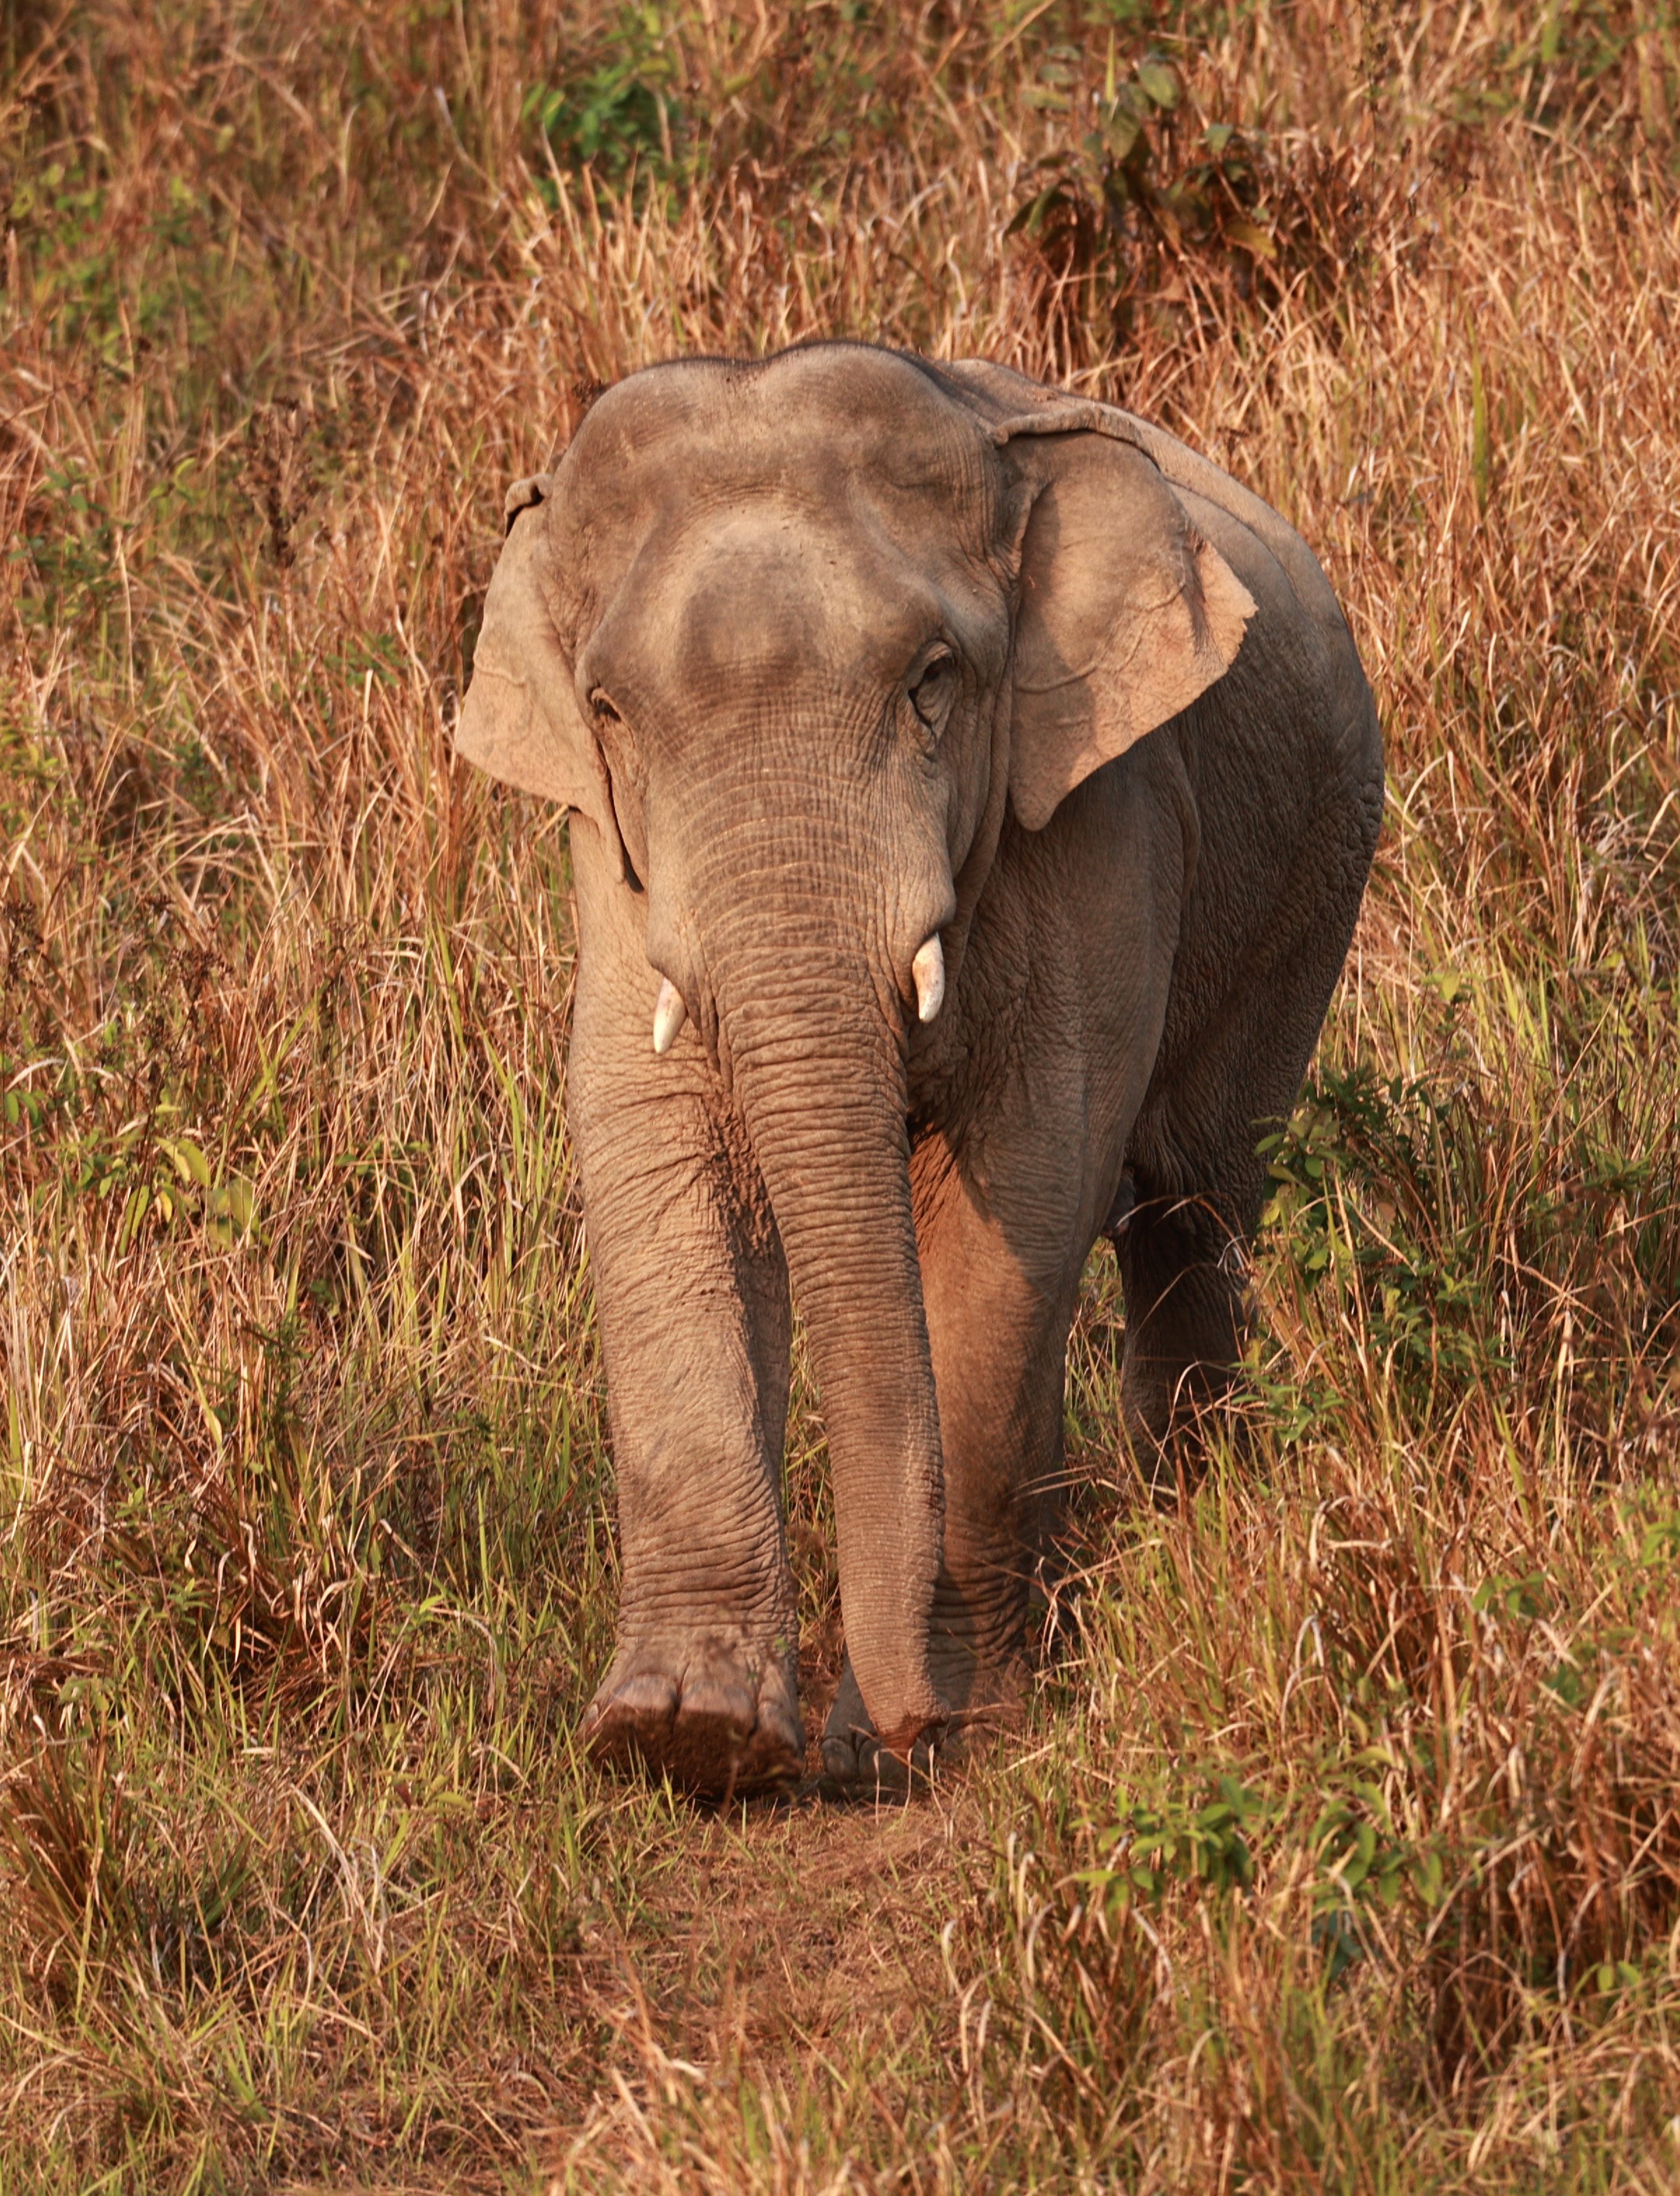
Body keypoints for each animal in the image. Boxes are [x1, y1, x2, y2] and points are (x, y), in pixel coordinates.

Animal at [454, 343, 1382, 1798]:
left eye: (932, 680)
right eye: (605, 711)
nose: (885, 1737)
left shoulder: (1094, 814)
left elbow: (1025, 1178)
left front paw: (956, 1718)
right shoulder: (611, 864)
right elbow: (654, 1160)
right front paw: (680, 1739)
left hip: (1313, 877)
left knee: (1195, 1206)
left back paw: (1183, 1521)